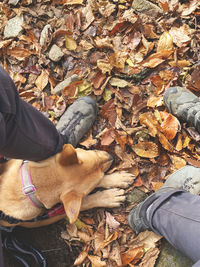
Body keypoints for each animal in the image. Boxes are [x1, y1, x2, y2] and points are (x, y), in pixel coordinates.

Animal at [0, 146, 134, 229]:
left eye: (91, 153)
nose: (112, 156)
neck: (31, 186)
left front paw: (118, 179)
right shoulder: (41, 220)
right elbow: (84, 202)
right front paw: (109, 197)